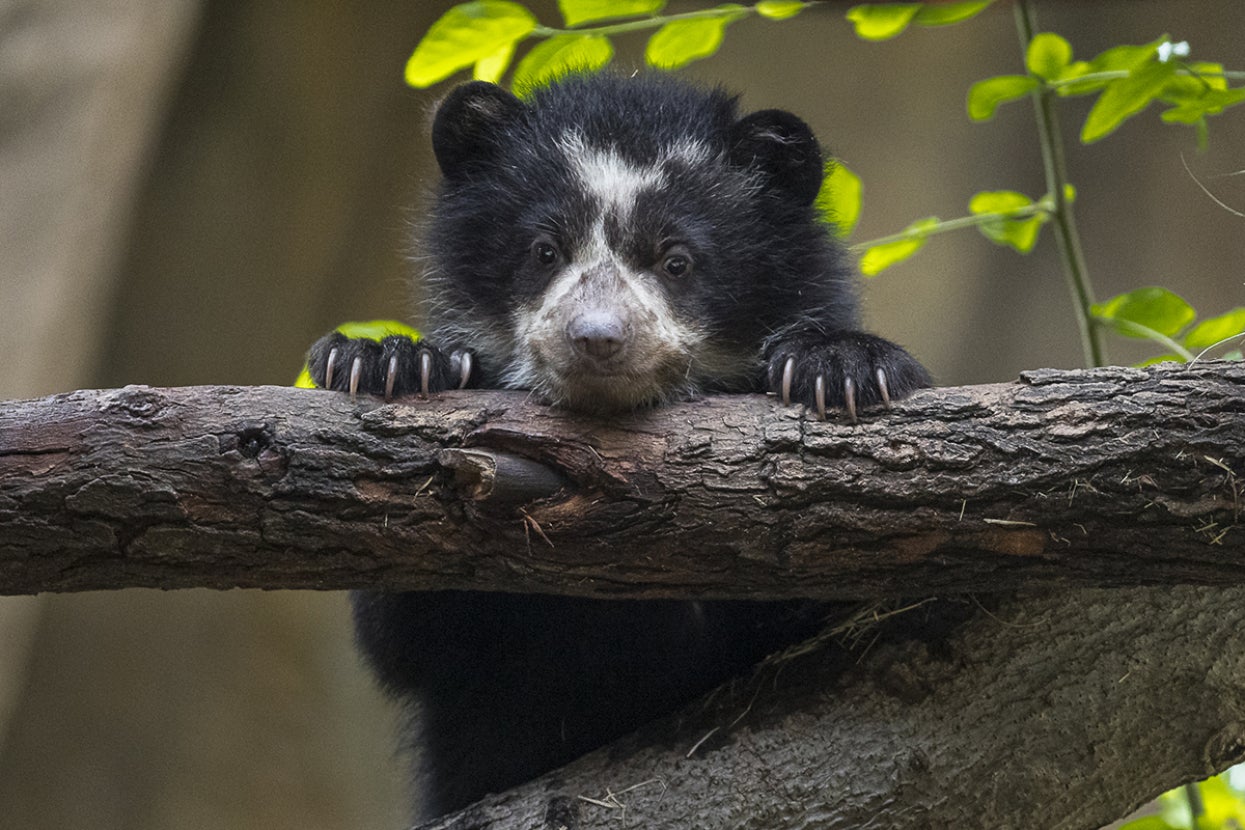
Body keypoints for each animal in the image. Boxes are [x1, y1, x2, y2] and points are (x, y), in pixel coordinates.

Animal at [305, 72, 929, 819]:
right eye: (545, 251)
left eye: (676, 260)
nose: (597, 339)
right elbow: (407, 635)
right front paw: (387, 362)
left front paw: (843, 369)